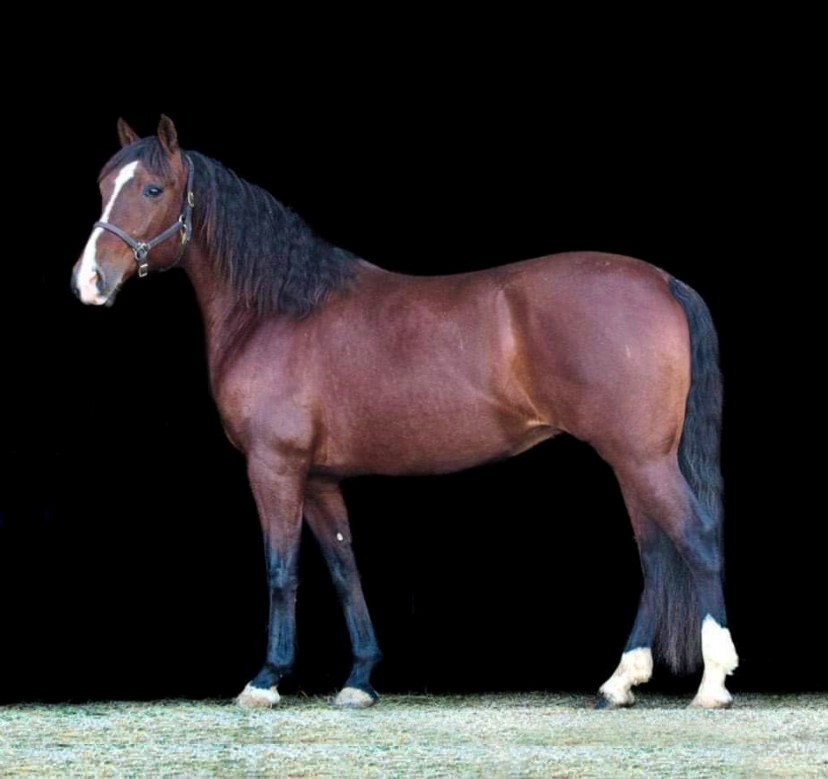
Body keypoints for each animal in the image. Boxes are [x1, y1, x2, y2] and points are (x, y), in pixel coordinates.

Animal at [71, 116, 738, 710]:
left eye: (152, 189)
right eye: (104, 185)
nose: (89, 281)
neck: (280, 311)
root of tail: (663, 281)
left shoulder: (274, 468)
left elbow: (281, 569)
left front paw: (265, 681)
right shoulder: (319, 477)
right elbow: (345, 569)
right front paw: (360, 679)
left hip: (642, 457)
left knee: (695, 538)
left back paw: (711, 685)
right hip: (631, 459)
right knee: (655, 552)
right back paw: (619, 682)